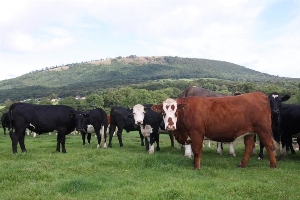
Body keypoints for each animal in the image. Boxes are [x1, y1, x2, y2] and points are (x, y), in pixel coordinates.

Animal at [152, 92, 282, 169]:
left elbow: (197, 150)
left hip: (263, 130)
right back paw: (242, 164)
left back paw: (273, 164)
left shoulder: (197, 133)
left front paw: (196, 167)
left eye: (176, 112)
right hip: (249, 132)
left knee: (269, 145)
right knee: (249, 146)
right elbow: (193, 150)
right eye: (163, 112)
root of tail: (258, 94)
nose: (170, 126)